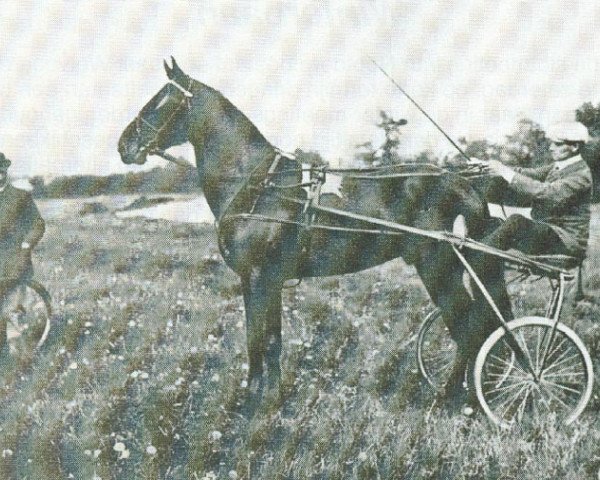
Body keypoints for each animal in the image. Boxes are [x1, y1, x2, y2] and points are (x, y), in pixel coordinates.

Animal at [117, 59, 510, 404]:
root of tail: (464, 183)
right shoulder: (261, 279)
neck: (261, 187)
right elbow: (262, 339)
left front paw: (262, 401)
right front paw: (261, 397)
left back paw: (452, 397)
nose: (124, 146)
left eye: (161, 100)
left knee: (468, 327)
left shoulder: (260, 276)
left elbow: (263, 339)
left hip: (438, 266)